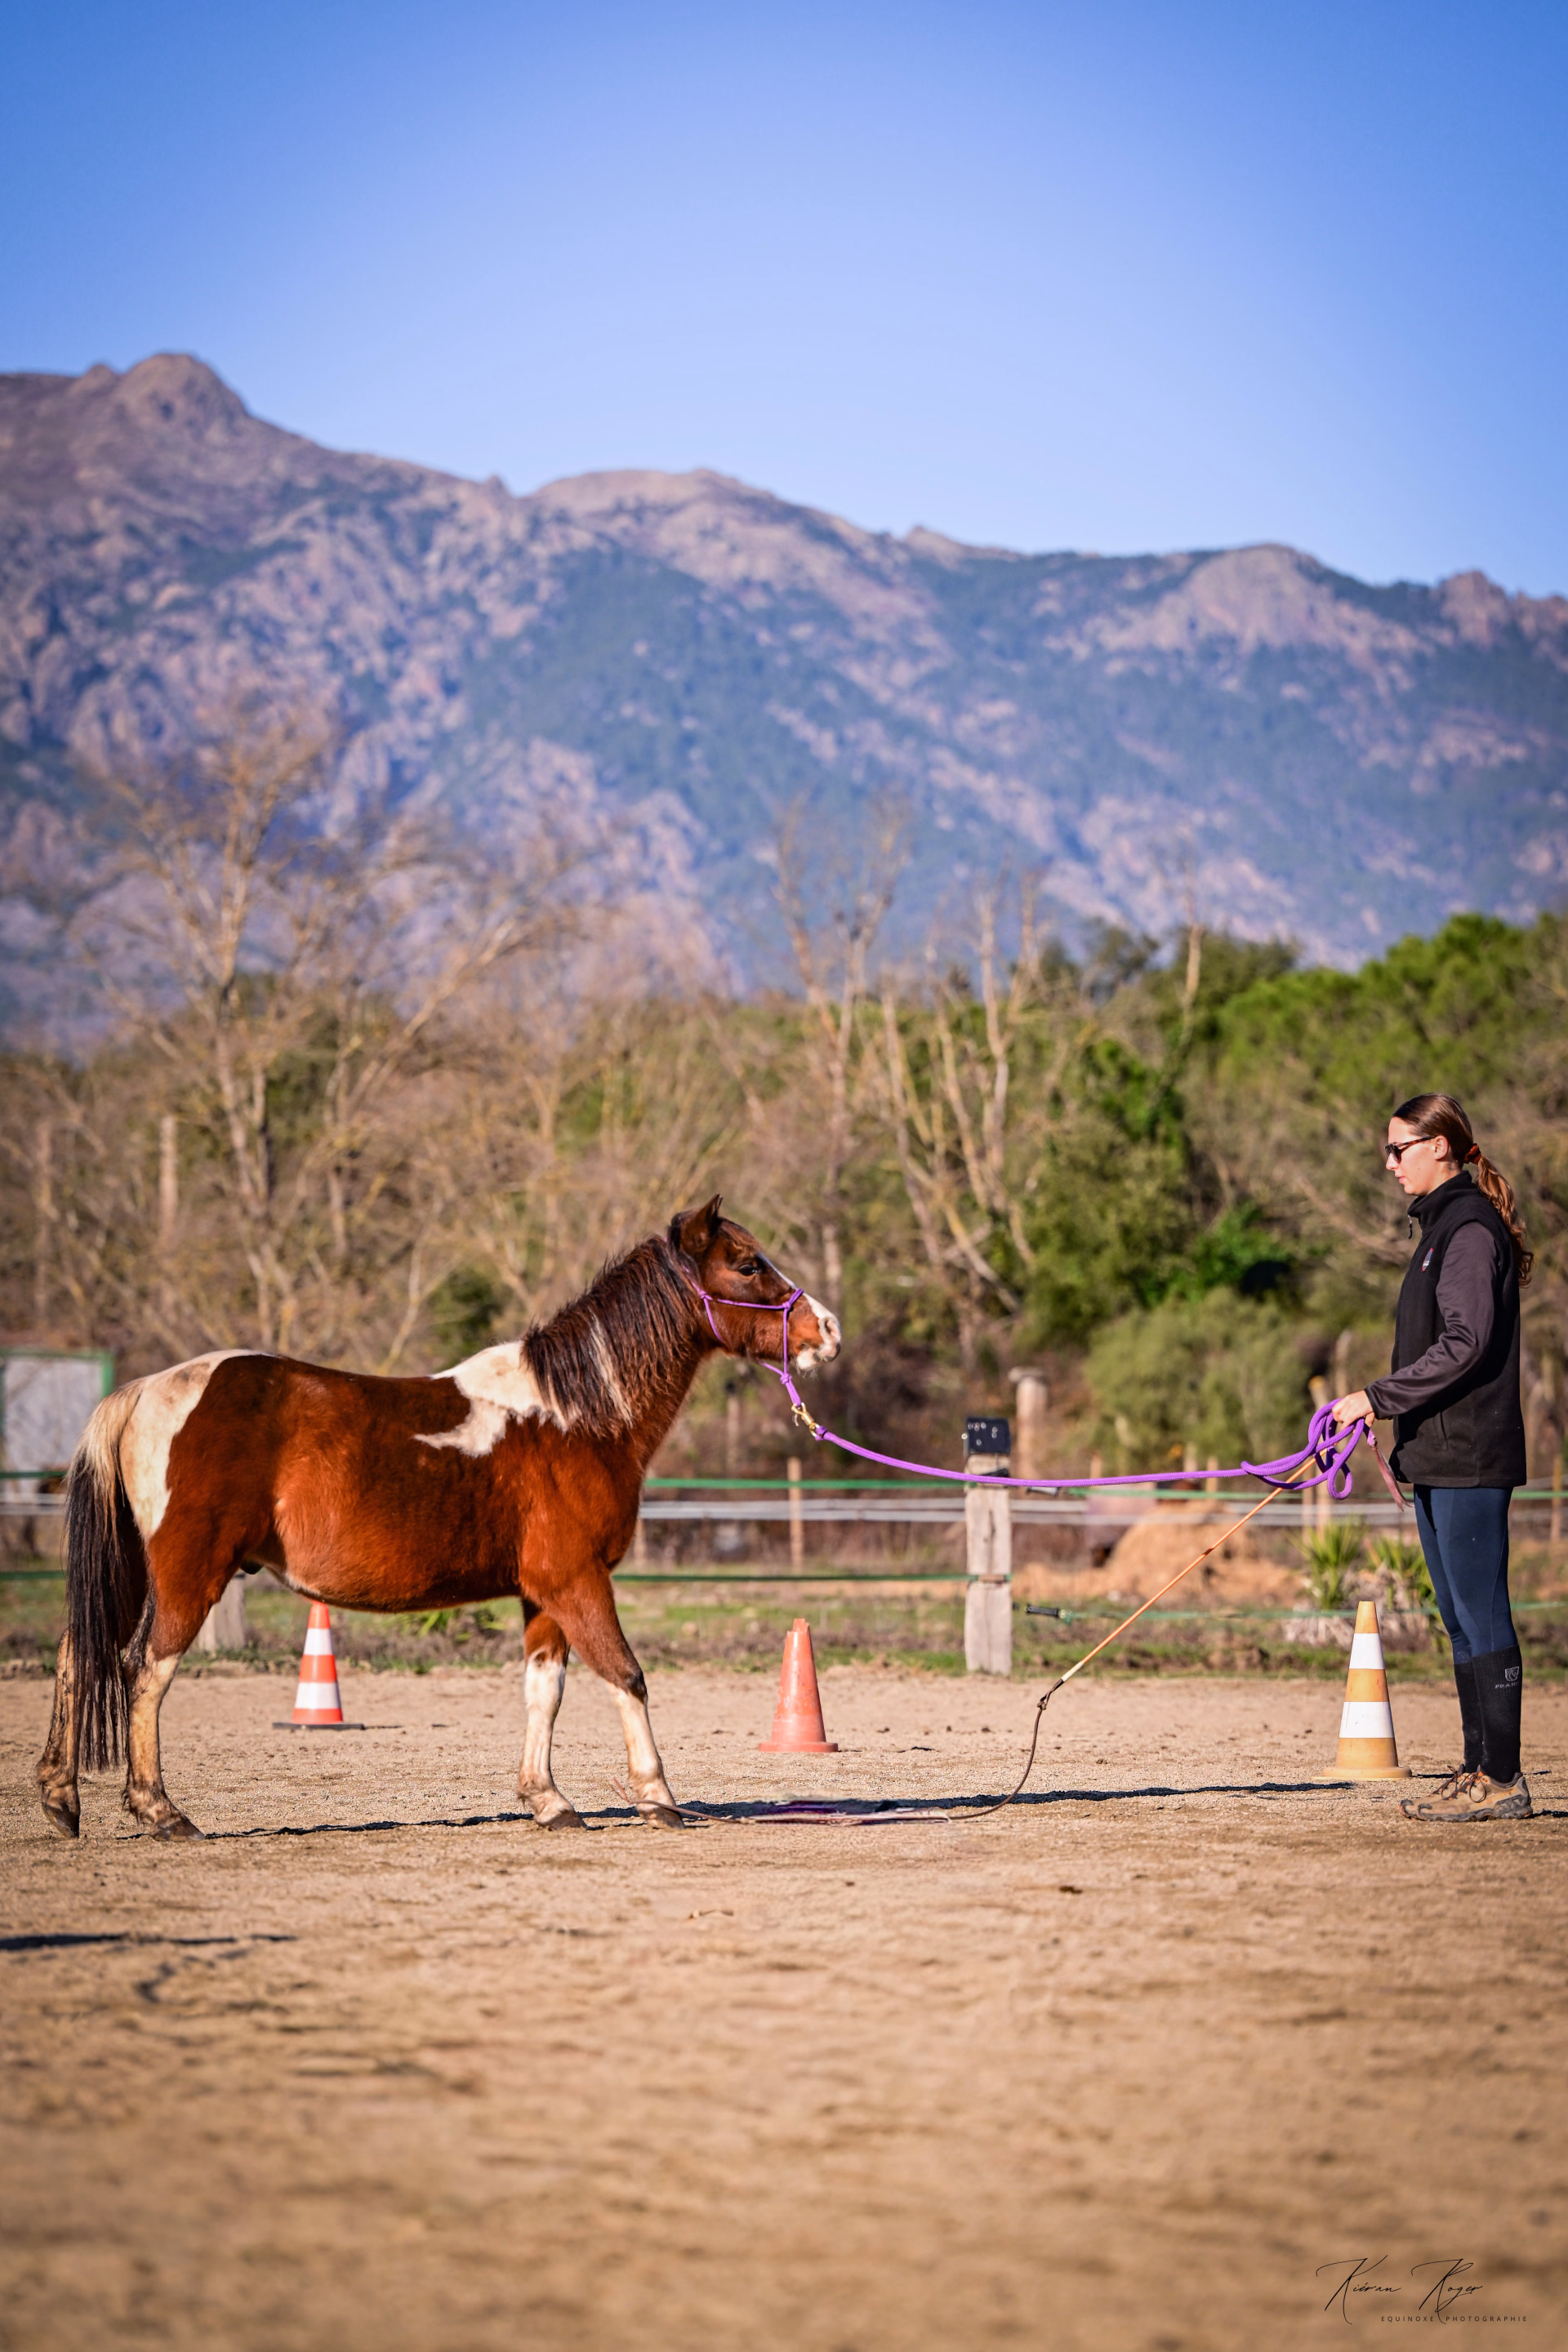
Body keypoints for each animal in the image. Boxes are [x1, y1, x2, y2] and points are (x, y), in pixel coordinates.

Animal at [37, 1197, 840, 1842]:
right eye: (747, 1263)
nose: (827, 1329)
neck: (574, 1417)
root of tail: (144, 1391)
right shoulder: (578, 1581)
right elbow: (627, 1676)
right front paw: (658, 1797)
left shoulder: (543, 1594)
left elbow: (544, 1691)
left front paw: (547, 1800)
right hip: (188, 1573)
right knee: (146, 1669)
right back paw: (160, 1810)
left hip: (134, 1572)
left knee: (78, 1654)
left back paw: (60, 1798)